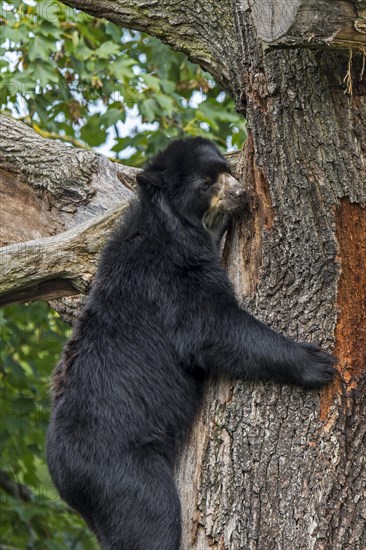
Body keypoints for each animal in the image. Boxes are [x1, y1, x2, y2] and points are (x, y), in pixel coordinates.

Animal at [46, 138, 338, 550]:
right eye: (205, 183)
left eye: (226, 170)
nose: (241, 193)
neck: (171, 224)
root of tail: (60, 474)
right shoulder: (172, 272)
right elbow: (211, 328)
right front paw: (316, 362)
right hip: (120, 468)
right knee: (149, 520)